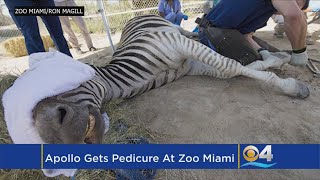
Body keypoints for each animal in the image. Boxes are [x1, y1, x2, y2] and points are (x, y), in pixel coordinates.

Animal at [32, 13, 310, 146]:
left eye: (59, 111)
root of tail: (133, 18)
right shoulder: (191, 65)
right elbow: (233, 69)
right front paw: (276, 59)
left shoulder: (178, 45)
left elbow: (230, 65)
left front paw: (292, 86)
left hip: (170, 31)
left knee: (181, 29)